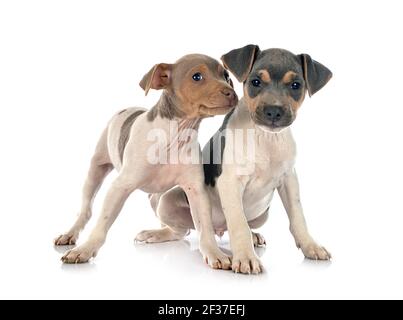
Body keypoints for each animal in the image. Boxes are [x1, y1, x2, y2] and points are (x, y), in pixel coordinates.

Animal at [53, 53, 237, 268]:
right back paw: (70, 234)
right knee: (86, 210)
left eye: (226, 75)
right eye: (197, 77)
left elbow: (204, 226)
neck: (174, 134)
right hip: (96, 170)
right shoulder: (120, 186)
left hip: (159, 198)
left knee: (179, 230)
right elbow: (102, 222)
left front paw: (214, 253)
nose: (232, 93)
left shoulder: (196, 190)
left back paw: (154, 234)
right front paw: (85, 249)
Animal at [150, 45, 332, 274]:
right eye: (255, 82)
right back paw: (154, 234)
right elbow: (238, 224)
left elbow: (298, 217)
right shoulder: (230, 182)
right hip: (169, 201)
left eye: (296, 85)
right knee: (184, 231)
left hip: (262, 214)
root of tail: (218, 228)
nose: (274, 111)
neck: (265, 136)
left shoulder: (289, 179)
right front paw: (246, 257)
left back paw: (254, 237)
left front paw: (310, 246)